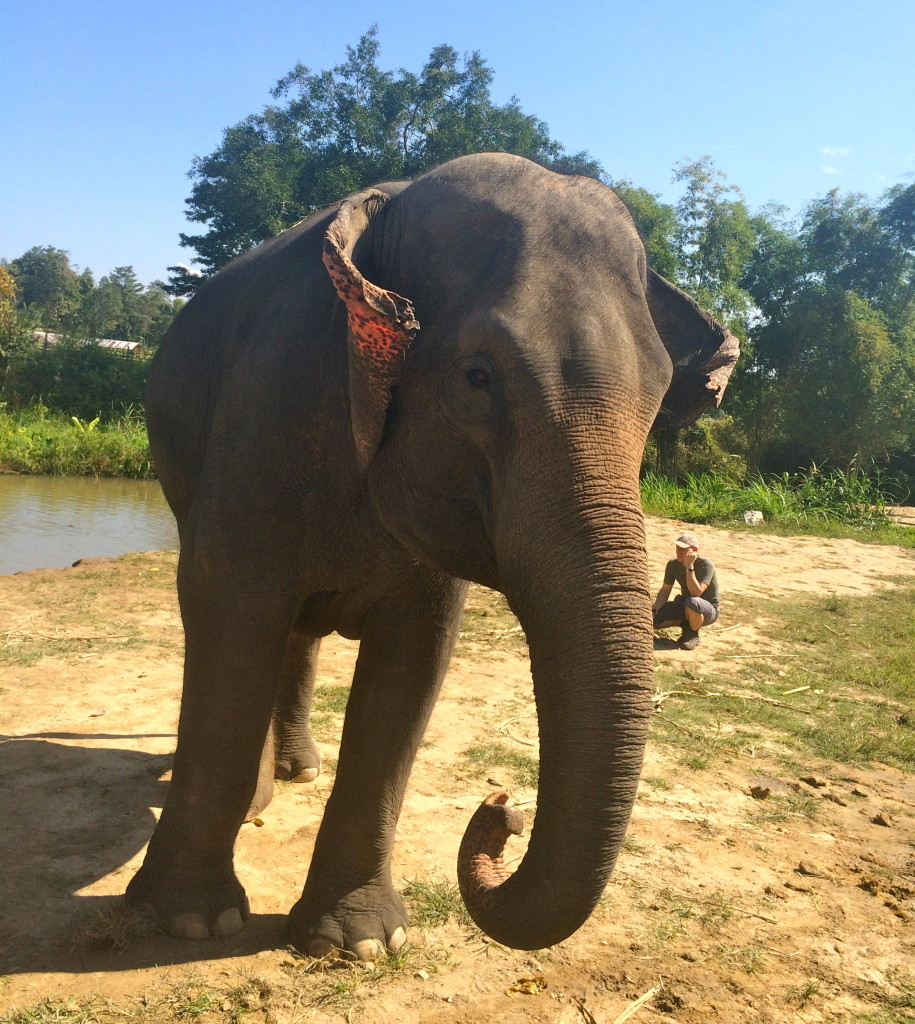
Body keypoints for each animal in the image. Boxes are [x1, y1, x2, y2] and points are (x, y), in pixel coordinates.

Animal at [125, 151, 741, 958]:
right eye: (477, 377)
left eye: (660, 392)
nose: (502, 807)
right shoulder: (264, 419)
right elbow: (229, 614)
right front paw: (188, 922)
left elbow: (413, 663)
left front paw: (359, 944)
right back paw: (264, 795)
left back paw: (299, 770)